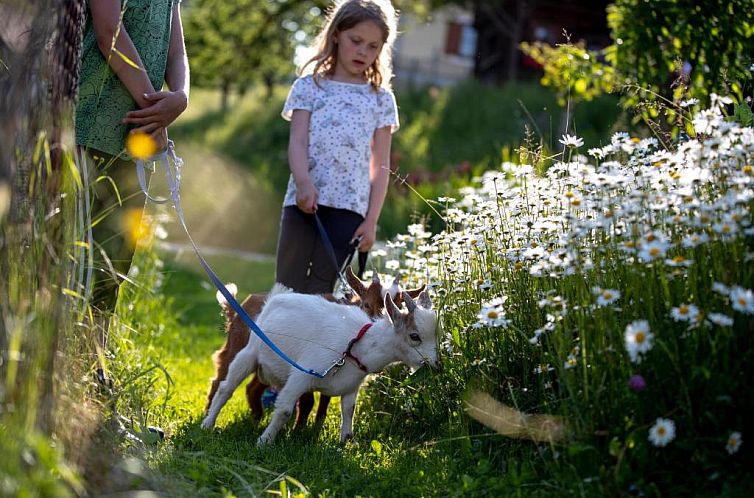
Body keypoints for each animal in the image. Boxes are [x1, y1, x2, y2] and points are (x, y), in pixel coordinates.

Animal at [201, 284, 440, 448]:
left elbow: (349, 409)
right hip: (249, 352)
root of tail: (274, 298)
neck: (357, 347)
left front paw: (346, 442)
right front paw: (264, 442)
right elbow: (285, 410)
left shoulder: (351, 386)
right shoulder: (301, 375)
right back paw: (207, 424)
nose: (437, 366)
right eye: (415, 336)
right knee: (225, 388)